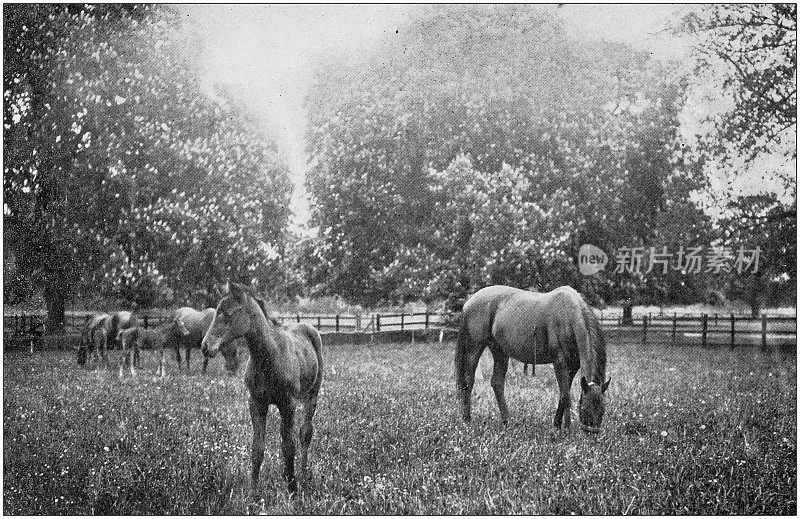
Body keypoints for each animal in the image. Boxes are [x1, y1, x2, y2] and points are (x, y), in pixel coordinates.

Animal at [202, 284, 324, 496]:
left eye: (228, 313)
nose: (205, 346)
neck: (269, 356)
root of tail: (309, 327)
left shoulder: (288, 405)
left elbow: (288, 446)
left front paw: (293, 490)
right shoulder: (256, 403)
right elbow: (257, 448)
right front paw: (253, 492)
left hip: (312, 396)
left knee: (305, 433)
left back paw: (302, 477)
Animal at [456, 286, 612, 432]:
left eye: (603, 410)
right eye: (585, 409)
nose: (591, 434)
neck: (569, 316)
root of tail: (469, 301)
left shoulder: (573, 366)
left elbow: (563, 393)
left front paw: (557, 424)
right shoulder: (559, 363)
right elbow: (566, 396)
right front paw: (566, 429)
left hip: (499, 351)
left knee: (497, 383)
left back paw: (507, 421)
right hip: (475, 347)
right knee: (469, 381)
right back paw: (466, 419)